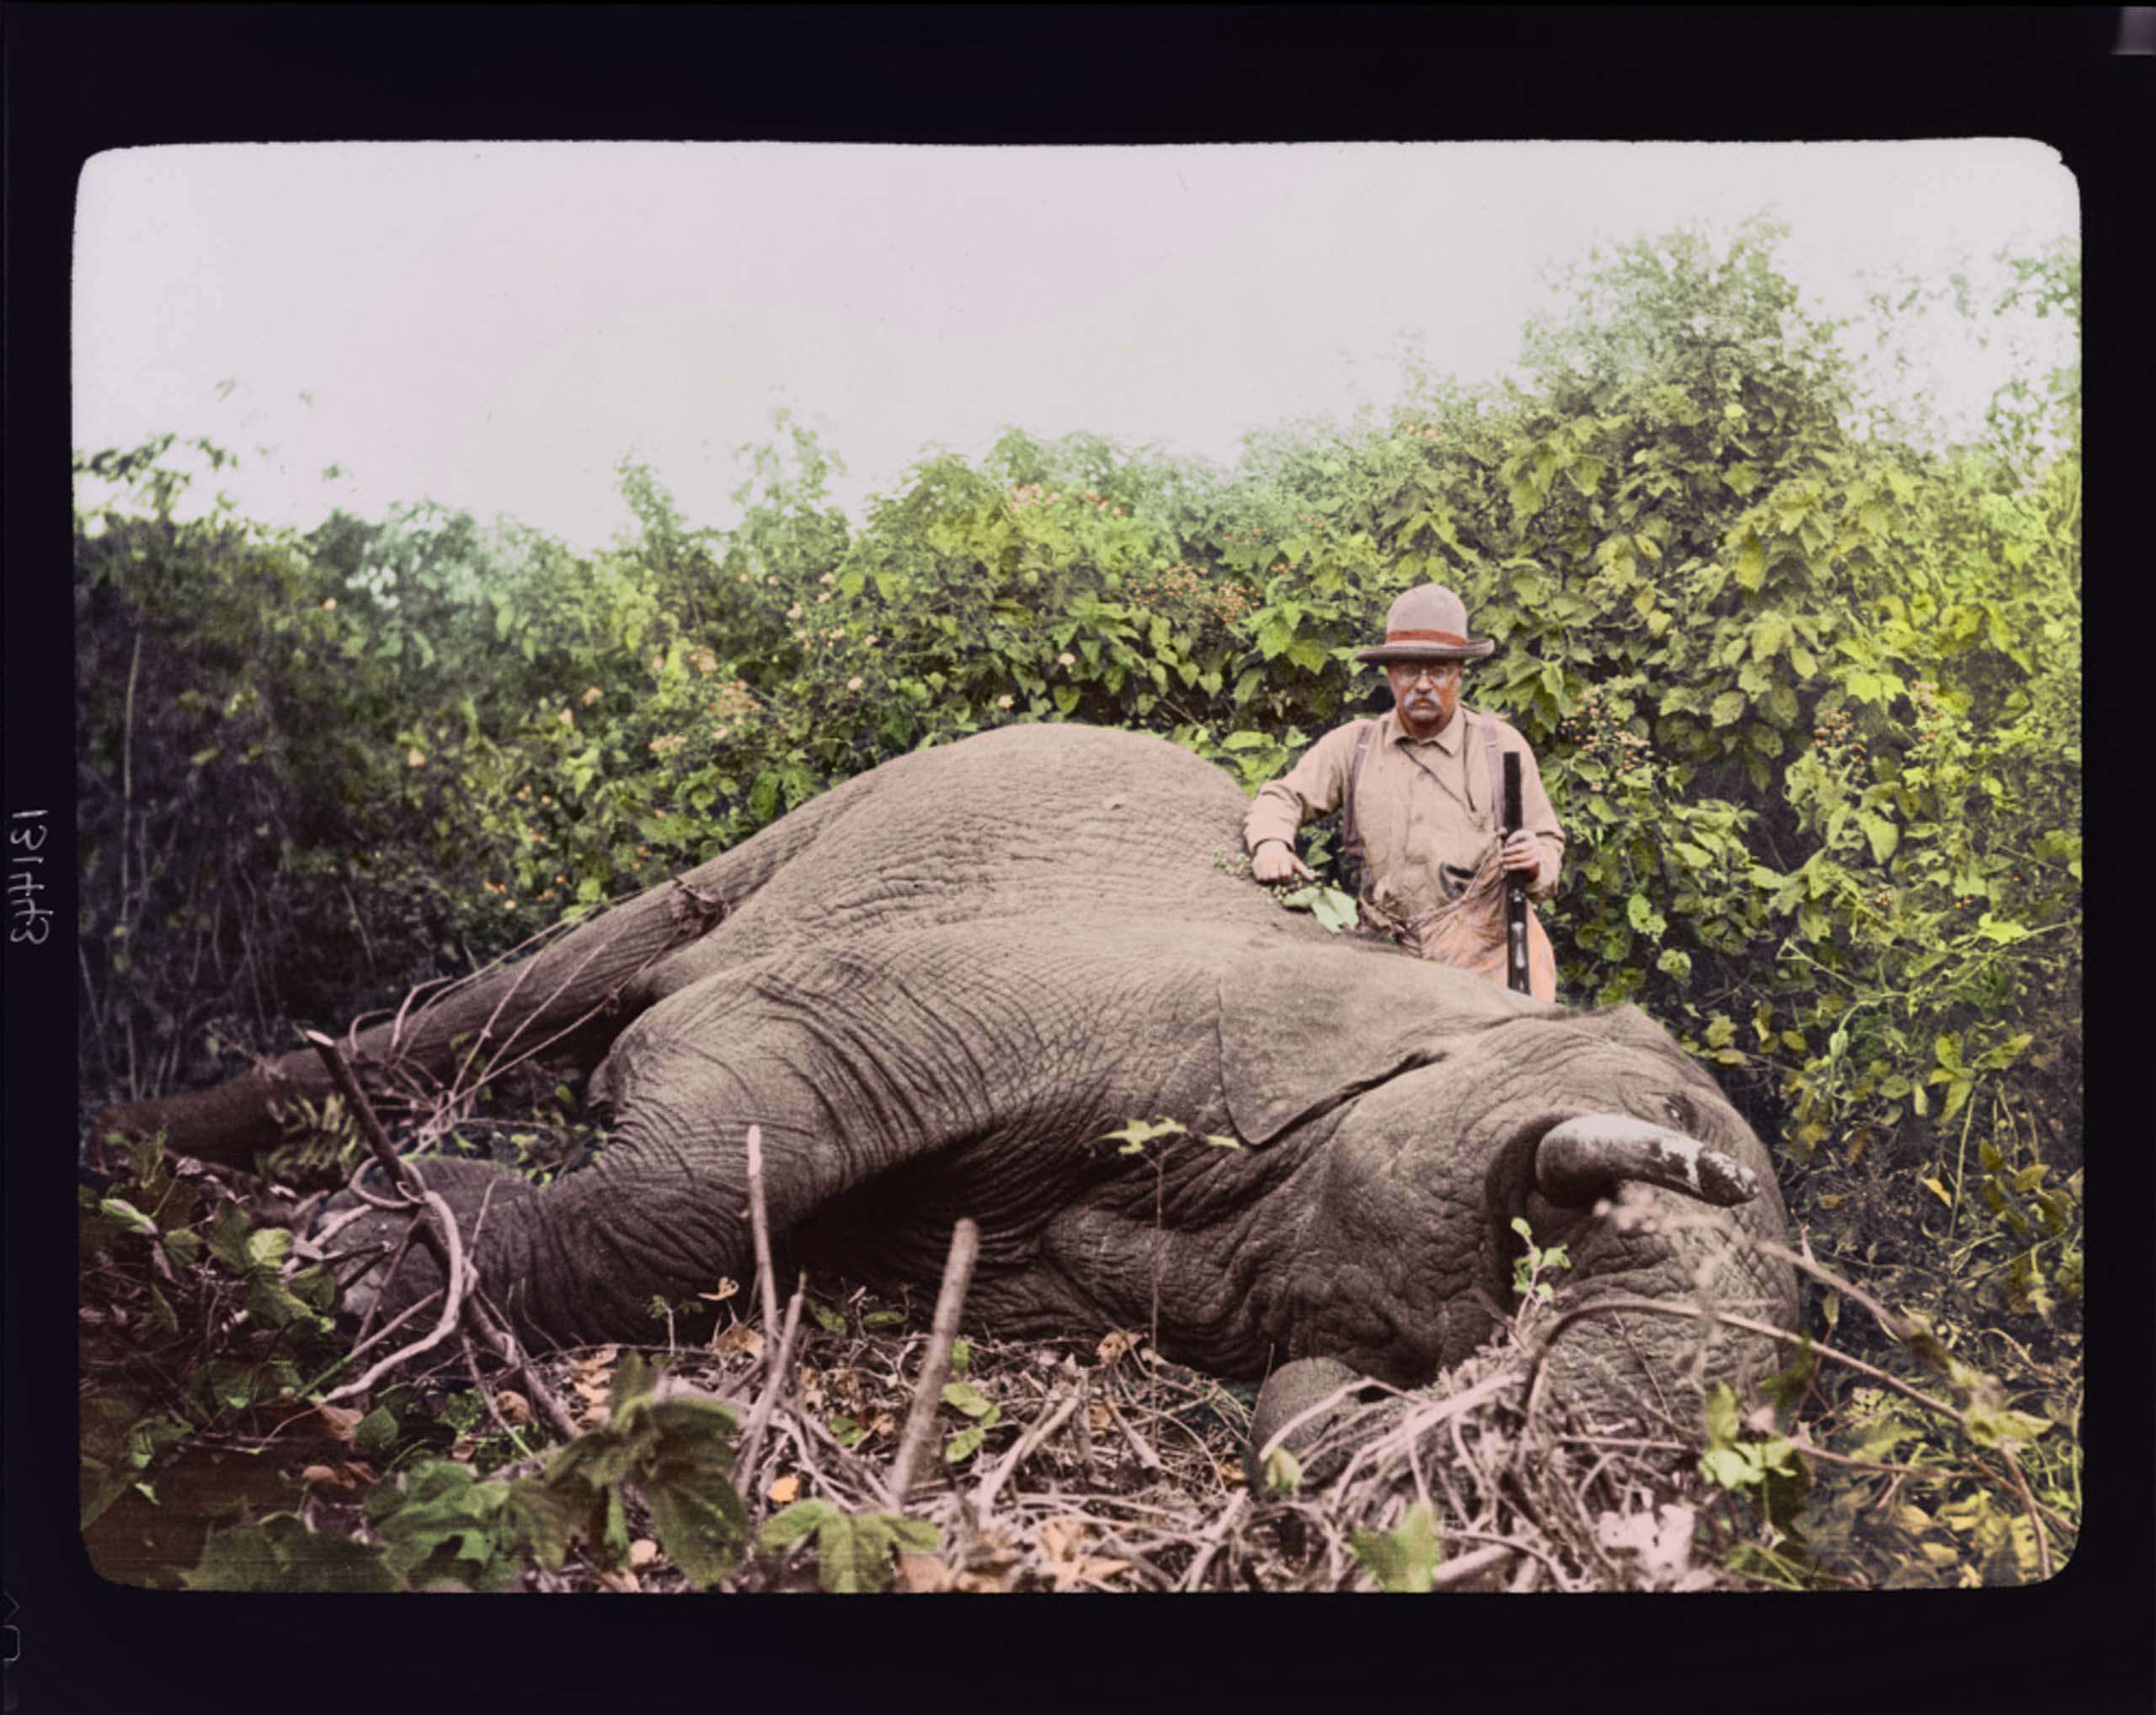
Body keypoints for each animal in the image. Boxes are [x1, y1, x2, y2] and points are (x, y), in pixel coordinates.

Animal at [101, 722, 1799, 1440]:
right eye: (1653, 1150)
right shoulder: (1103, 1004)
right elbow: (735, 1092)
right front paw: (363, 1262)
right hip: (837, 822)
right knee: (549, 990)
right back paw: (142, 1150)